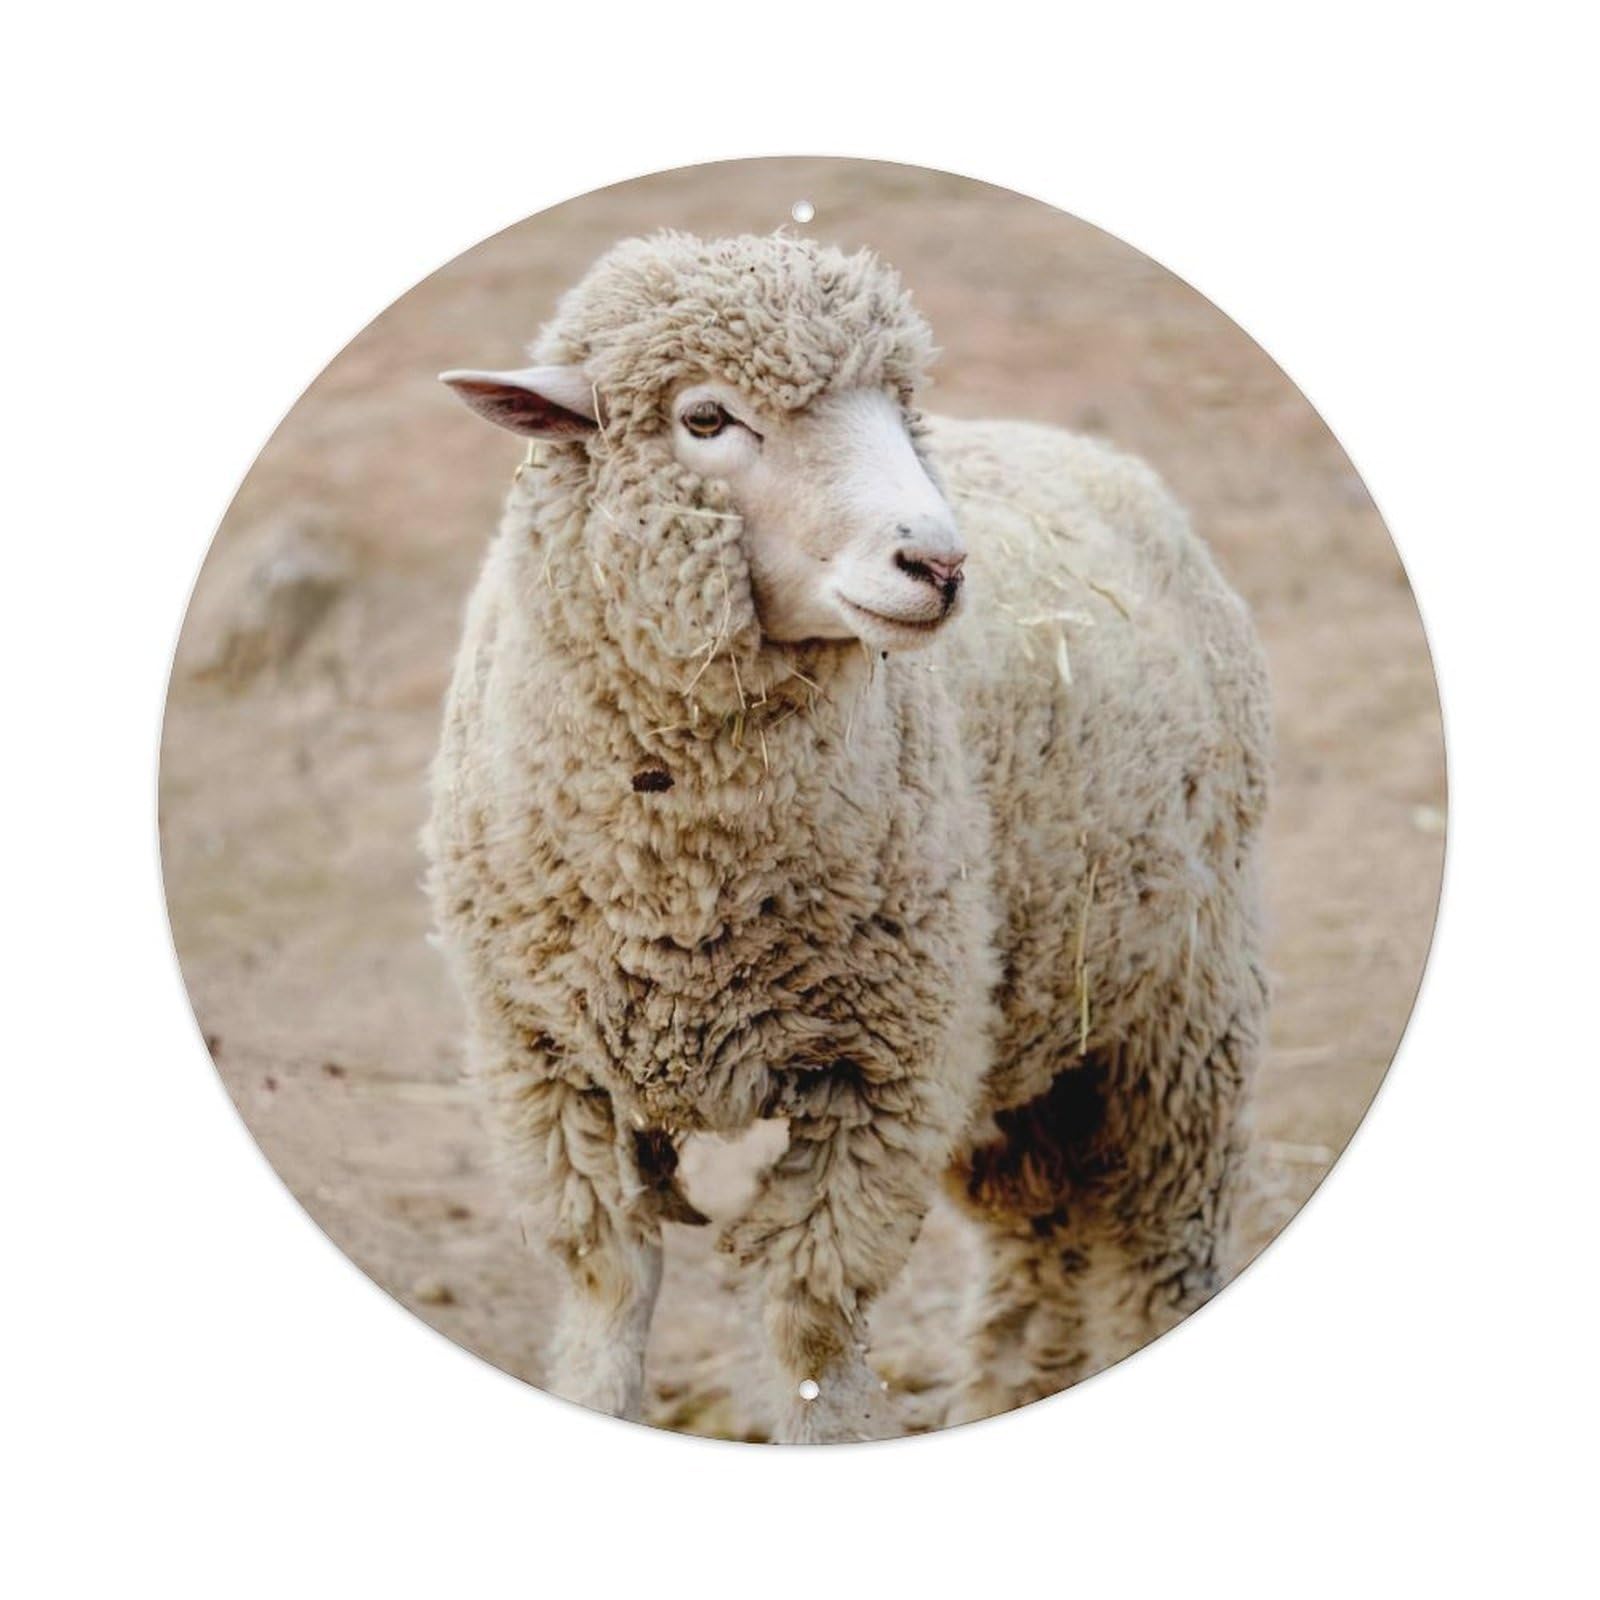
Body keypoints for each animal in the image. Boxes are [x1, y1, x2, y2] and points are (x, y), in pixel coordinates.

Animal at [426, 231, 1271, 1442]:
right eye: (705, 416)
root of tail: (1085, 447)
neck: (684, 898)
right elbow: (606, 1293)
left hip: (1179, 1010)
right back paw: (1007, 1392)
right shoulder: (544, 1064)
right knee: (1039, 1246)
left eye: (897, 410)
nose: (940, 565)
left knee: (1160, 1251)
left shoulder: (884, 1075)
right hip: (1022, 1034)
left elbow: (809, 1325)